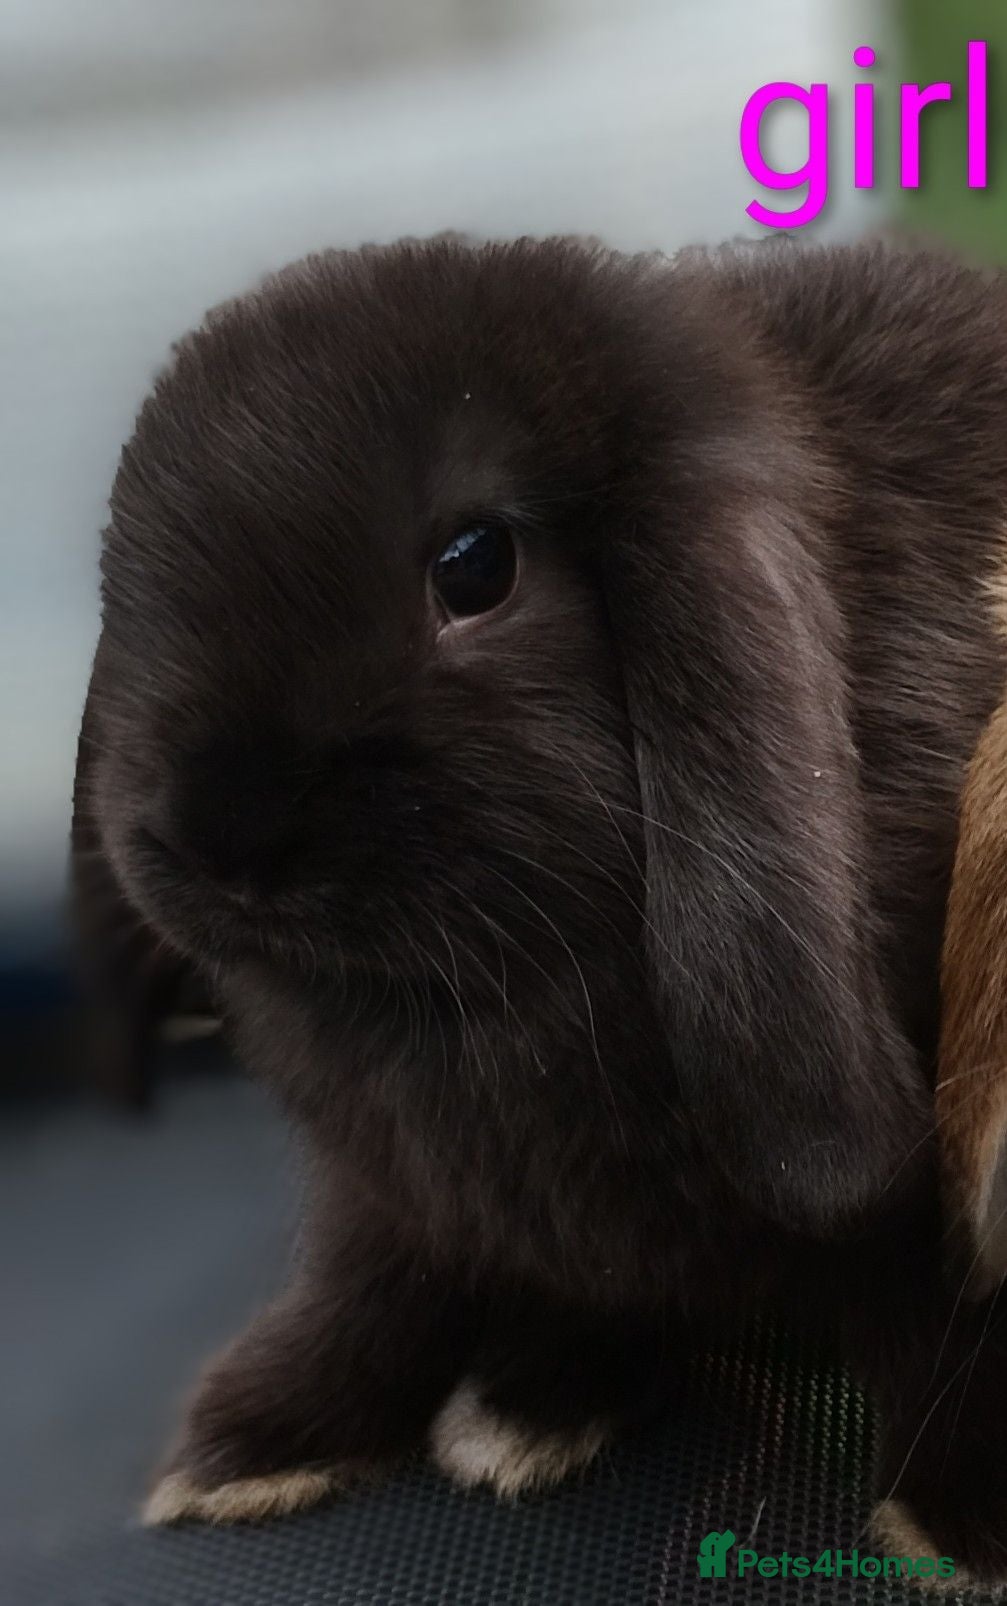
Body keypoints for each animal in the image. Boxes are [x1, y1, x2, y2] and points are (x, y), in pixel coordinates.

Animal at [72, 233, 1007, 1584]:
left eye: (476, 565)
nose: (217, 833)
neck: (476, 989)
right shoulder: (390, 1189)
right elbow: (362, 1290)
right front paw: (249, 1443)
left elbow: (944, 1342)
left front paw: (966, 1517)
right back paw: (530, 1400)